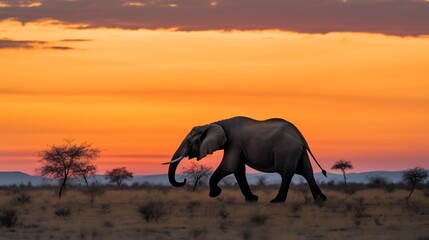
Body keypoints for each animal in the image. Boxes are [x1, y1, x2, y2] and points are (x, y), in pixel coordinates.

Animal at [162, 116, 326, 202]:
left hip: (287, 151)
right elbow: (238, 170)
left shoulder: (233, 142)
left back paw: (276, 201)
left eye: (189, 142)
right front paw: (252, 199)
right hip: (299, 152)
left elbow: (230, 166)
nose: (183, 180)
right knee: (307, 171)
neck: (216, 124)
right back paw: (321, 199)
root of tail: (302, 138)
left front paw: (215, 193)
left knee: (286, 173)